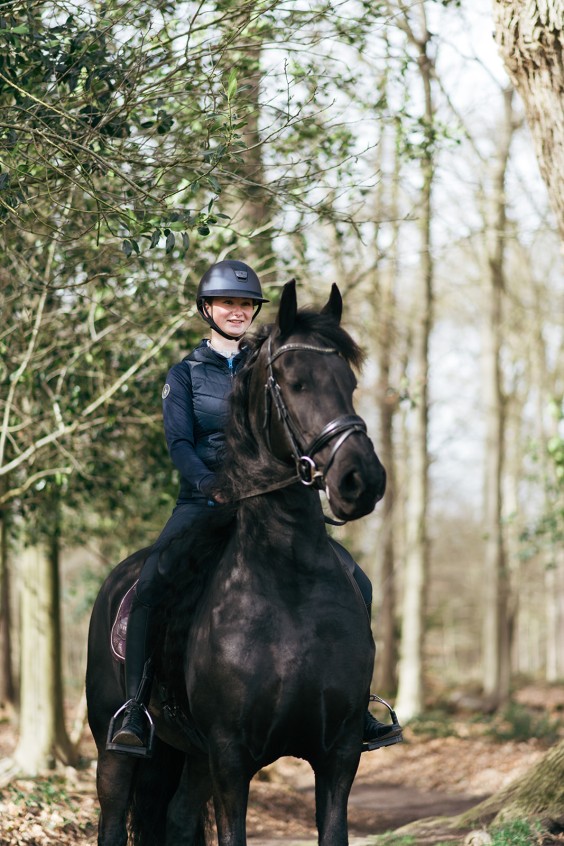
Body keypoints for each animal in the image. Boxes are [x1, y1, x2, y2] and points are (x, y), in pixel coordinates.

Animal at [86, 280, 387, 846]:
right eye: (295, 383)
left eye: (350, 382)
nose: (362, 480)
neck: (290, 585)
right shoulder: (231, 759)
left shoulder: (338, 756)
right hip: (116, 750)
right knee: (113, 819)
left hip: (193, 756)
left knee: (179, 819)